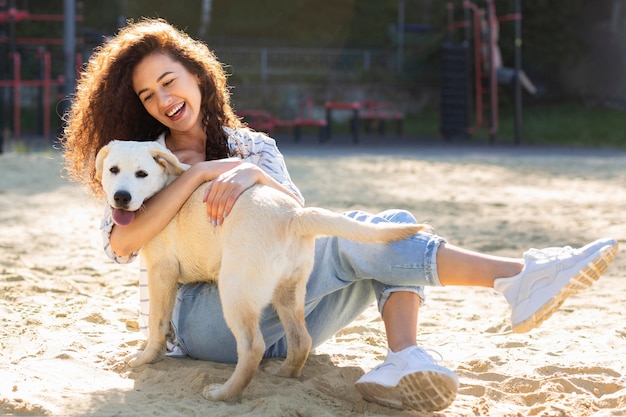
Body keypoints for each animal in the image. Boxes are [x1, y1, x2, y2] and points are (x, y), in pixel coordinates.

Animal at [95, 140, 432, 400]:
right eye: (113, 170)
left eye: (142, 174)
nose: (121, 197)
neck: (163, 192)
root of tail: (294, 215)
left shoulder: (161, 273)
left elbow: (156, 323)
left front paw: (145, 359)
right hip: (289, 292)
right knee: (300, 340)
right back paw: (284, 373)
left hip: (235, 292)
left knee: (252, 347)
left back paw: (224, 394)